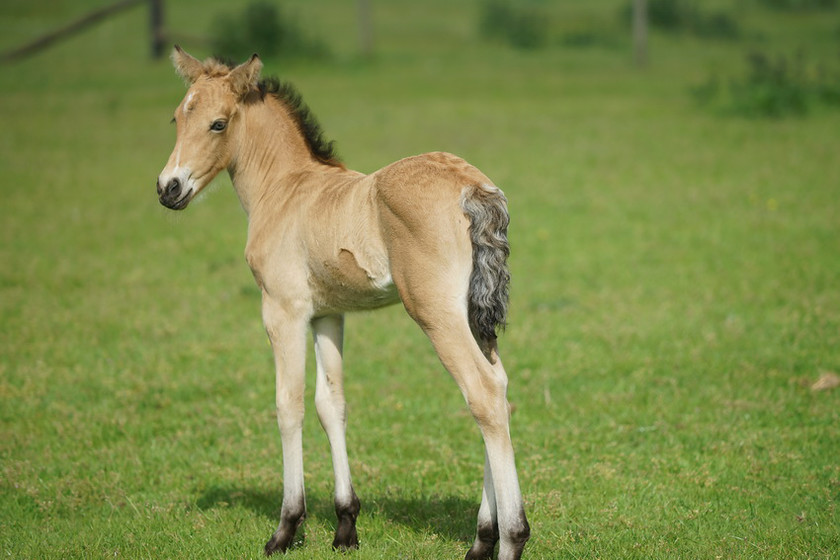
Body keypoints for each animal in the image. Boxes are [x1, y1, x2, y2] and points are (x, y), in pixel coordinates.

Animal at [154, 48, 528, 560]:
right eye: (176, 117)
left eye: (218, 123)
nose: (168, 188)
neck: (286, 188)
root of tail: (473, 187)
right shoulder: (329, 315)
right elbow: (331, 403)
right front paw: (346, 524)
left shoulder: (283, 311)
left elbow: (288, 404)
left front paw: (286, 527)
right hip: (476, 314)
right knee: (500, 390)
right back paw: (481, 540)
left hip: (435, 312)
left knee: (483, 392)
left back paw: (511, 536)